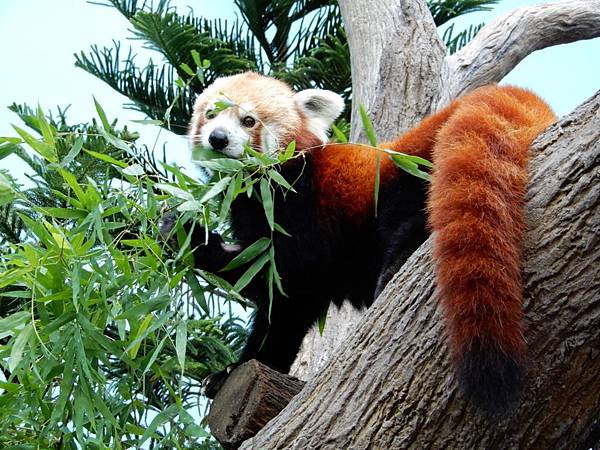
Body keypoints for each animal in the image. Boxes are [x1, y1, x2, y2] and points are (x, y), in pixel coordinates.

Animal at [180, 71, 556, 418]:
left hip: (412, 176)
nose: (217, 138)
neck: (262, 185)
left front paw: (240, 366)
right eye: (210, 114)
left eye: (248, 120)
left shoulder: (301, 207)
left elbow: (289, 293)